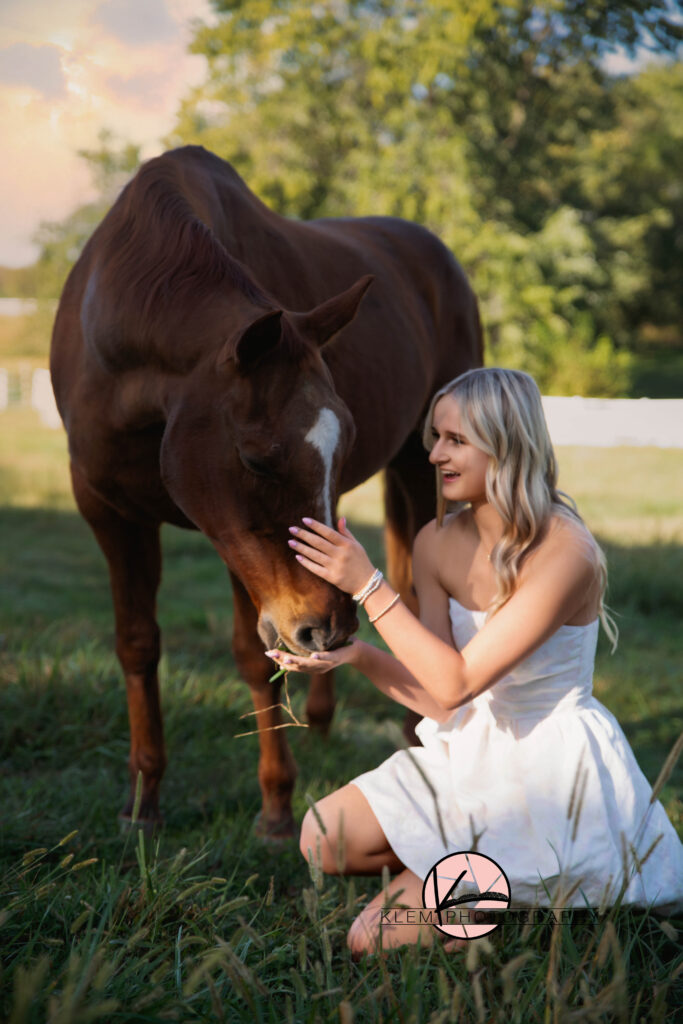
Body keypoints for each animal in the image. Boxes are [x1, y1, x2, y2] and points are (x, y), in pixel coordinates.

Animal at [50, 148, 483, 839]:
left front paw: (277, 806)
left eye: (345, 439)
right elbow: (137, 644)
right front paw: (143, 800)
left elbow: (258, 658)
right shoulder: (111, 514)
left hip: (423, 465)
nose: (328, 630)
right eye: (256, 458)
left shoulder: (233, 542)